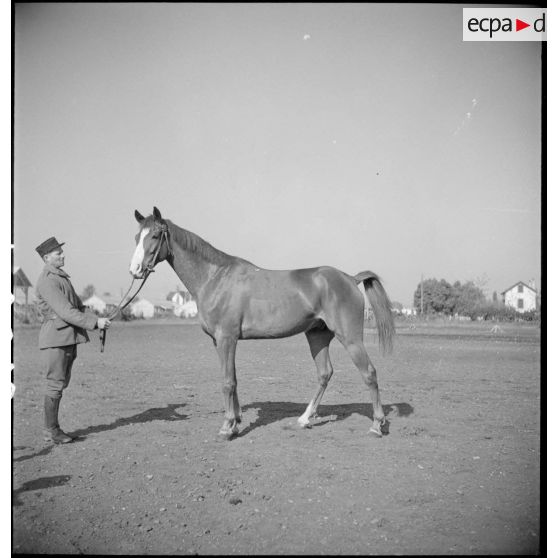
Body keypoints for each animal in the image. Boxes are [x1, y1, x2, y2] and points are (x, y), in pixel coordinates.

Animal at [129, 208, 396, 440]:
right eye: (136, 237)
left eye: (155, 235)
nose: (135, 270)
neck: (215, 277)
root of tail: (350, 278)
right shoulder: (221, 341)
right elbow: (233, 379)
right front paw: (236, 422)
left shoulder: (226, 338)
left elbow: (227, 382)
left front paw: (227, 427)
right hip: (317, 336)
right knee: (324, 374)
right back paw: (304, 419)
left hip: (350, 338)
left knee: (369, 373)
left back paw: (377, 425)